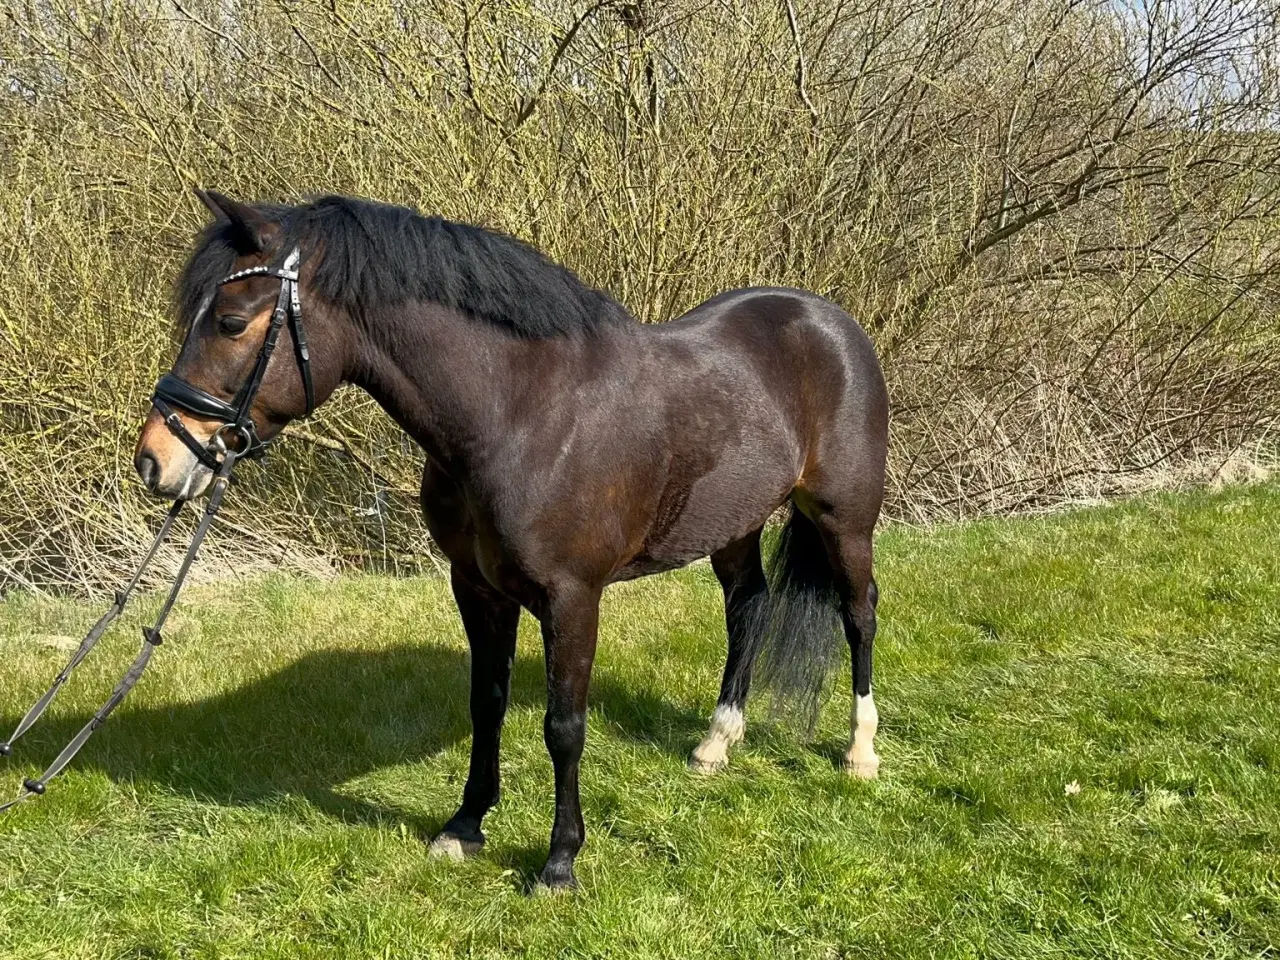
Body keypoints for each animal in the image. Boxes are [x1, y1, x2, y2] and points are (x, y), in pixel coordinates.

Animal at [133, 189, 889, 891]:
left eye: (231, 322)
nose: (154, 461)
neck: (519, 414)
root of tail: (829, 321)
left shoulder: (572, 598)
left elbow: (564, 726)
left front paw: (559, 862)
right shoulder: (476, 587)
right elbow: (486, 702)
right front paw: (465, 826)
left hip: (844, 521)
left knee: (859, 612)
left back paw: (860, 754)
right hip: (733, 524)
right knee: (748, 607)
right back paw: (715, 745)